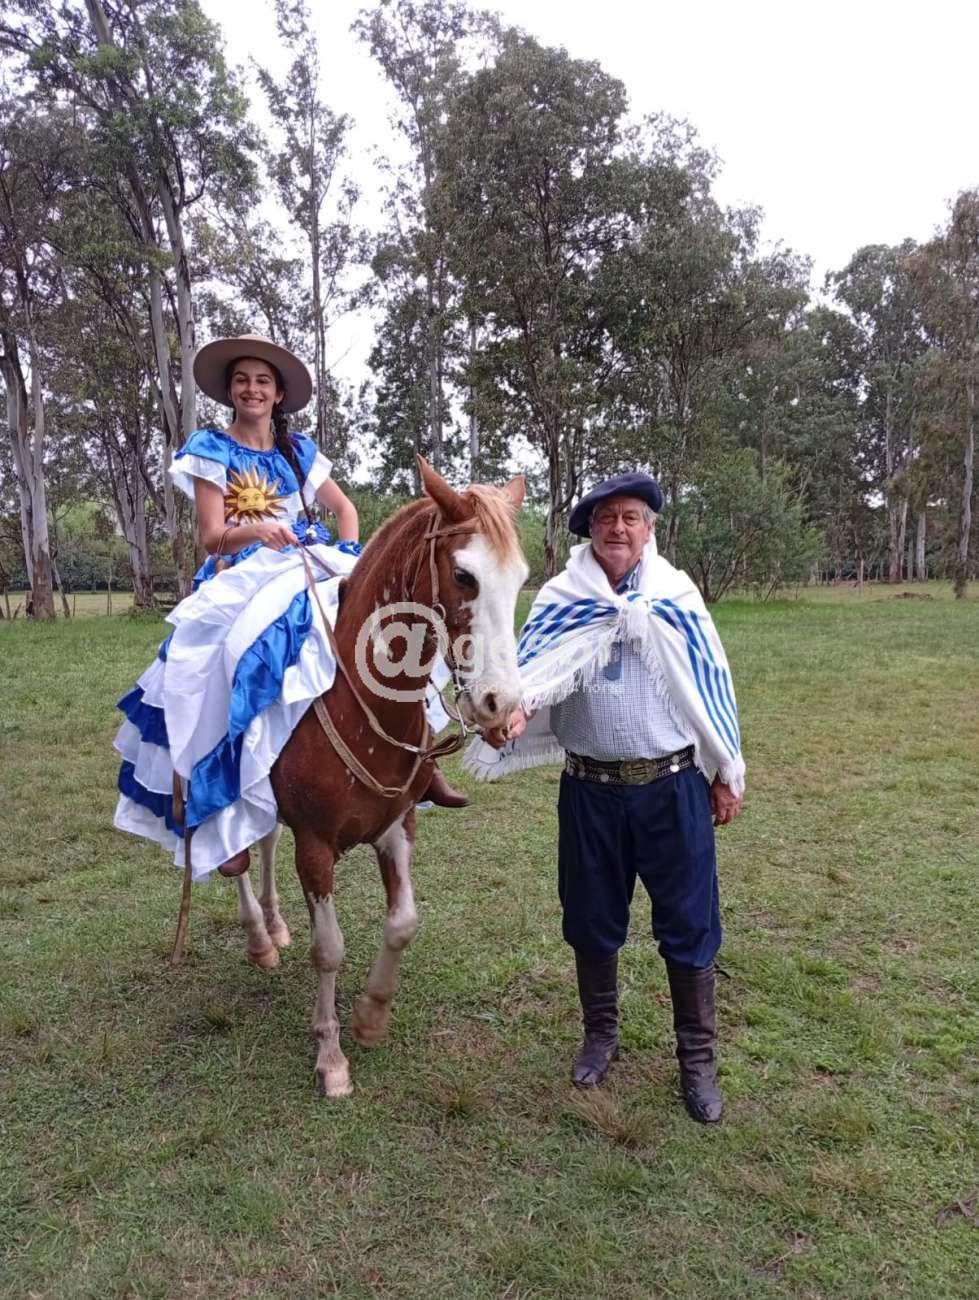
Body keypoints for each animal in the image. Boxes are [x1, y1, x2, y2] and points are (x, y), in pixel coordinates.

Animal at [223, 457, 528, 1097]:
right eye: (463, 576)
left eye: (521, 579)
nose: (502, 707)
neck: (360, 705)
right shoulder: (315, 846)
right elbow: (329, 949)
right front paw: (331, 1056)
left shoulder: (398, 826)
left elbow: (404, 923)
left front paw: (370, 1015)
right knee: (234, 857)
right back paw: (259, 939)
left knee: (265, 840)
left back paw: (275, 925)